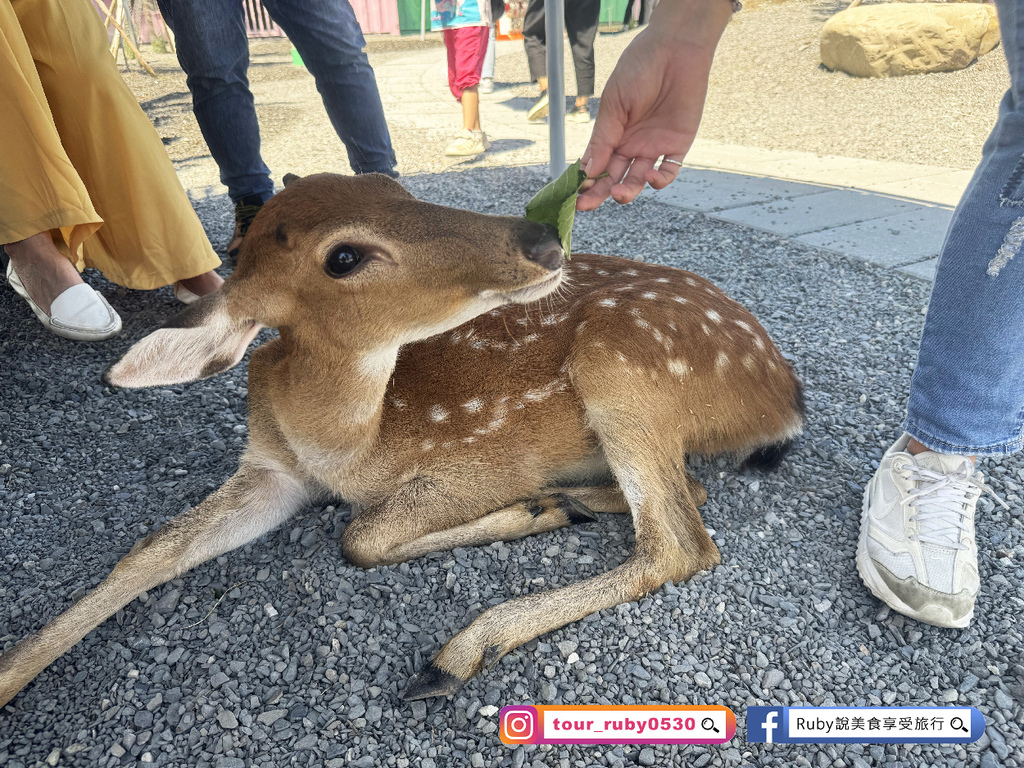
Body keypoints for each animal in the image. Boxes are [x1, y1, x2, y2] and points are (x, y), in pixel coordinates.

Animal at [0, 173, 798, 708]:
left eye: (392, 182)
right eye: (343, 257)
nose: (542, 240)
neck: (344, 446)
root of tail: (782, 393)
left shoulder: (479, 460)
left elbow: (360, 536)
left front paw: (528, 511)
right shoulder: (271, 469)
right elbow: (149, 553)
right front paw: (12, 675)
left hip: (623, 363)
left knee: (680, 536)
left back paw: (461, 647)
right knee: (686, 499)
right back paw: (568, 503)